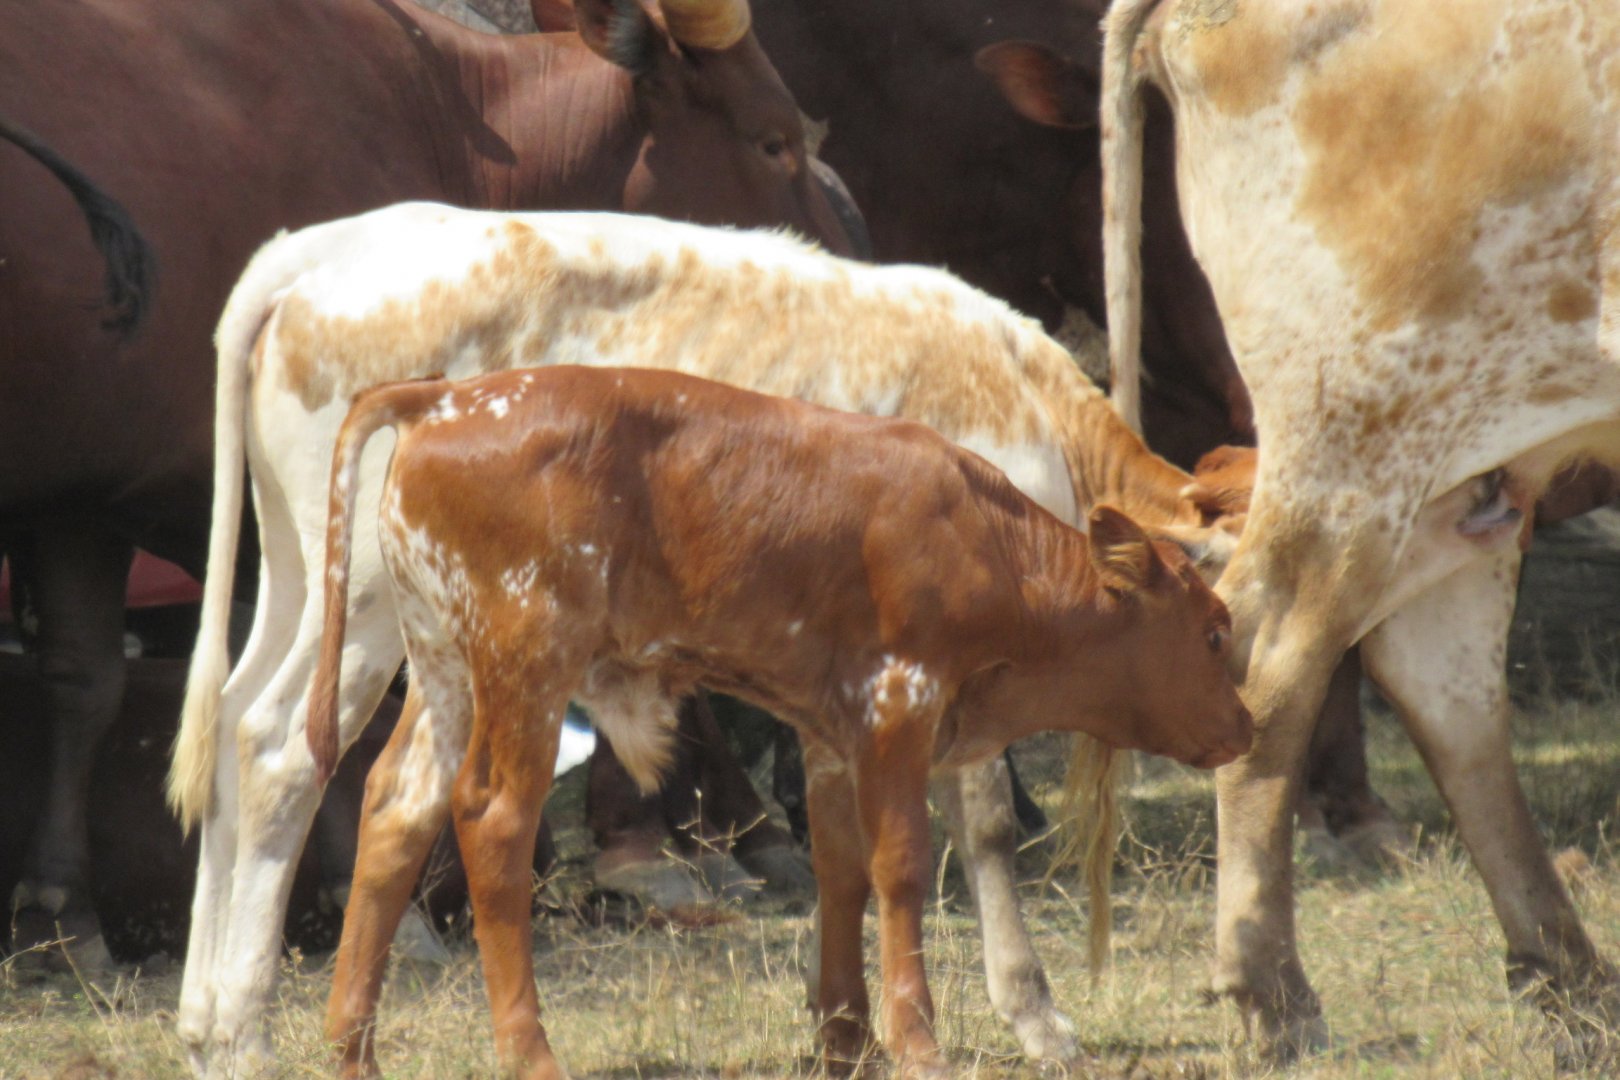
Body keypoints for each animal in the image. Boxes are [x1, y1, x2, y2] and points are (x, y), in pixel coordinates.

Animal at [173, 203, 1251, 1074]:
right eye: (1217, 626)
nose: (1254, 725)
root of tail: (320, 250)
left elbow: (852, 852)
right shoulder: (925, 681)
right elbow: (975, 826)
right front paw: (1033, 1014)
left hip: (321, 588)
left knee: (255, 739)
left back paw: (210, 1020)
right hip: (381, 617)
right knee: (287, 756)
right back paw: (252, 1029)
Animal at [1103, 0, 1620, 1059]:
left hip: (1460, 471)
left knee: (1443, 679)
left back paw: (1570, 979)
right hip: (1357, 441)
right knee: (1270, 657)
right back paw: (1273, 993)